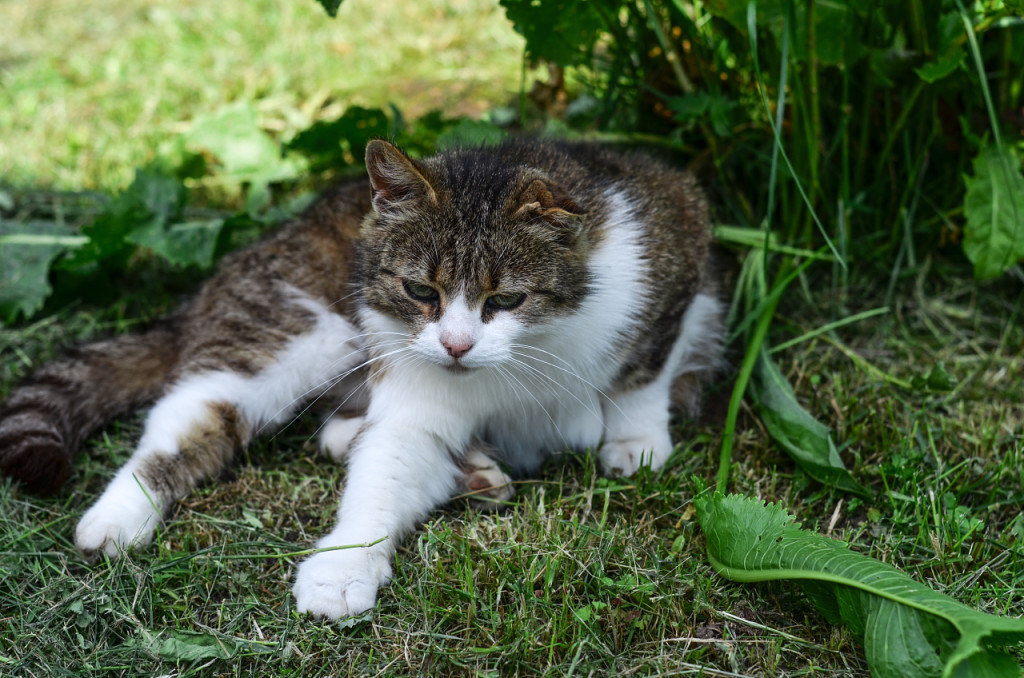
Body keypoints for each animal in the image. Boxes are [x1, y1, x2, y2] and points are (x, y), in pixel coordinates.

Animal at [0, 138, 724, 622]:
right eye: (420, 291)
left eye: (507, 299)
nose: (456, 345)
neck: (525, 357)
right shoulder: (414, 390)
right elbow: (385, 469)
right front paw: (344, 566)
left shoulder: (677, 239)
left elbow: (643, 370)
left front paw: (635, 438)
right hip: (292, 331)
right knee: (191, 420)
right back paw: (116, 517)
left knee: (327, 428)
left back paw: (467, 470)